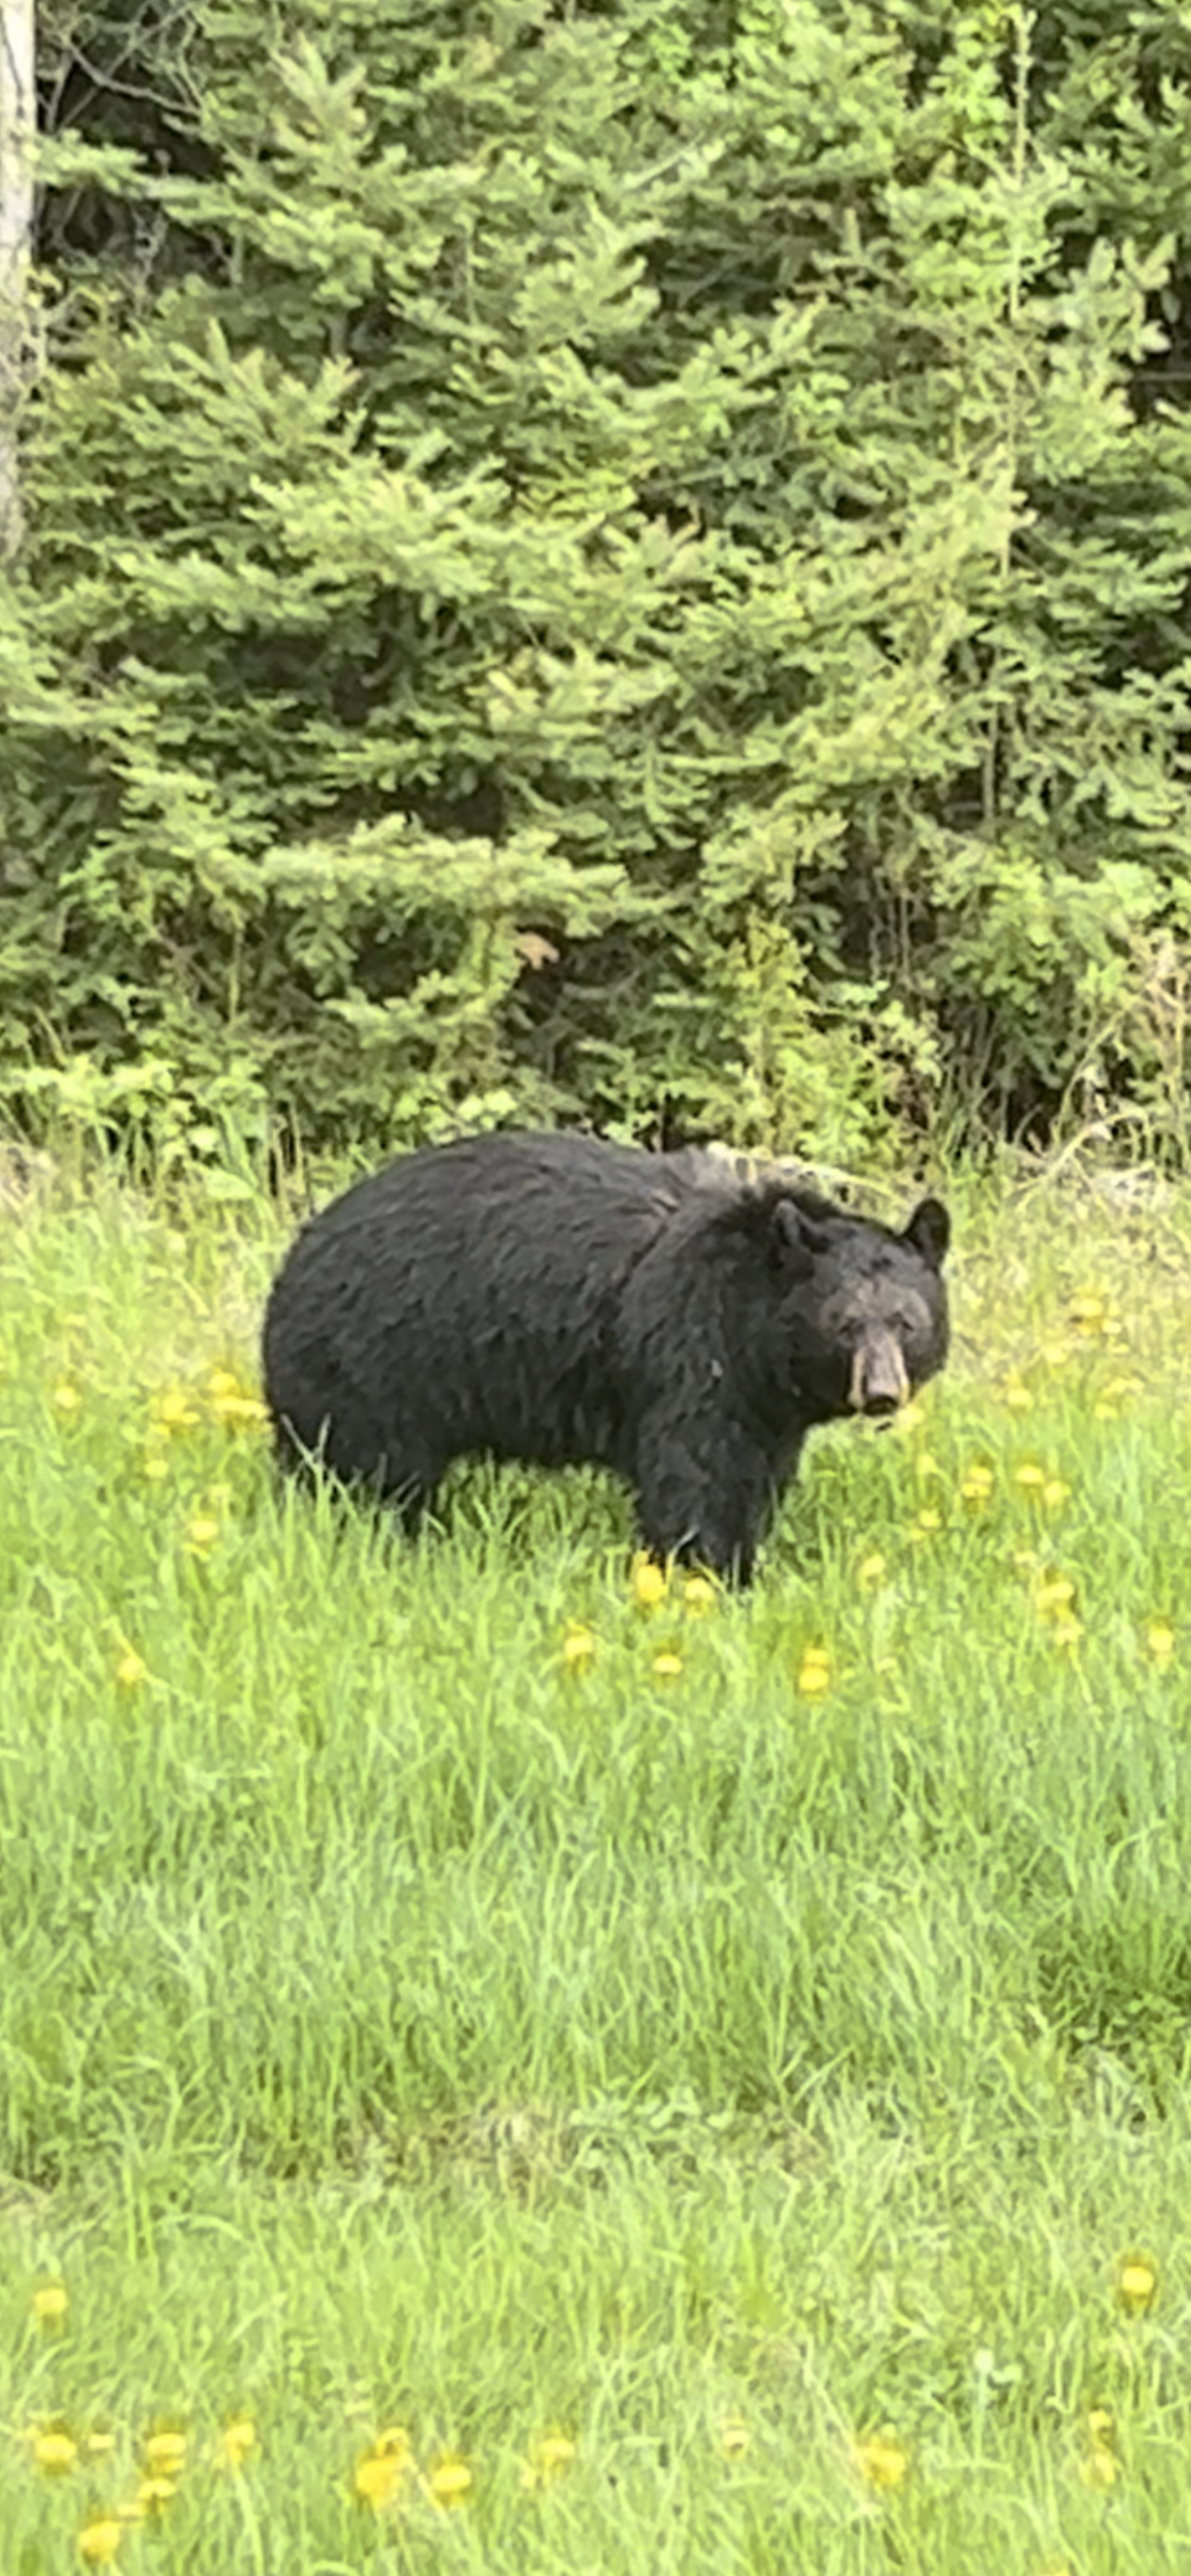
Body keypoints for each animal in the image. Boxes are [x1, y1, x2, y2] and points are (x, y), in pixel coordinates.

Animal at [261, 1130, 951, 1584]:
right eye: (845, 1324)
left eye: (906, 1322)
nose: (882, 1391)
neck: (749, 1308)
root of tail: (293, 1260)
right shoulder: (690, 1347)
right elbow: (696, 1472)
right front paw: (711, 1571)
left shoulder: (765, 1401)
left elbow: (756, 1473)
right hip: (370, 1367)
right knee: (365, 1473)